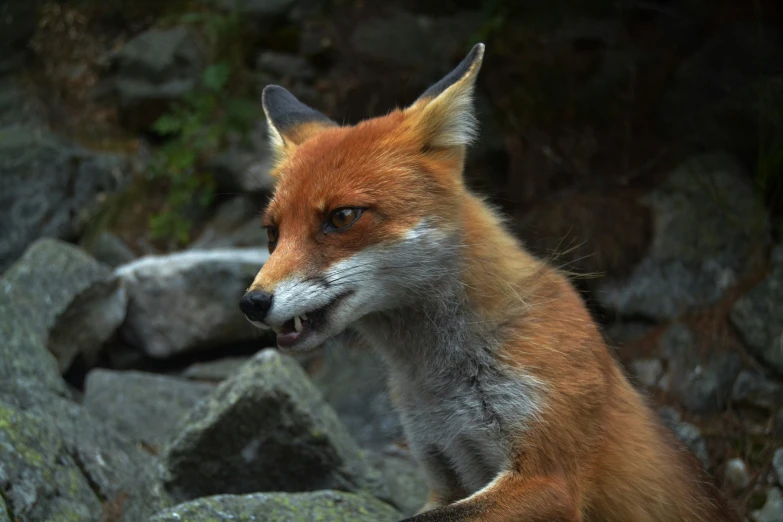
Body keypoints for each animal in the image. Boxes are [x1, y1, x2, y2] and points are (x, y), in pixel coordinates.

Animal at [239, 42, 740, 516]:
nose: (251, 303)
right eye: (272, 233)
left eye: (342, 217)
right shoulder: (441, 470)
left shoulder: (547, 477)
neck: (441, 382)